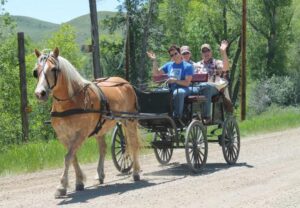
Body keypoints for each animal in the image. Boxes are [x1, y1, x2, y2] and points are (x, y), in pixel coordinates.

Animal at [33, 47, 141, 198]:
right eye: (35, 71)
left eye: (53, 69)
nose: (40, 93)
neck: (70, 102)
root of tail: (124, 82)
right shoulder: (63, 136)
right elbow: (72, 157)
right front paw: (79, 181)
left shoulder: (81, 133)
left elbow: (68, 157)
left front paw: (61, 186)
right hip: (101, 128)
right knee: (103, 148)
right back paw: (100, 175)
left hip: (129, 121)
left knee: (133, 144)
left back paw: (136, 173)